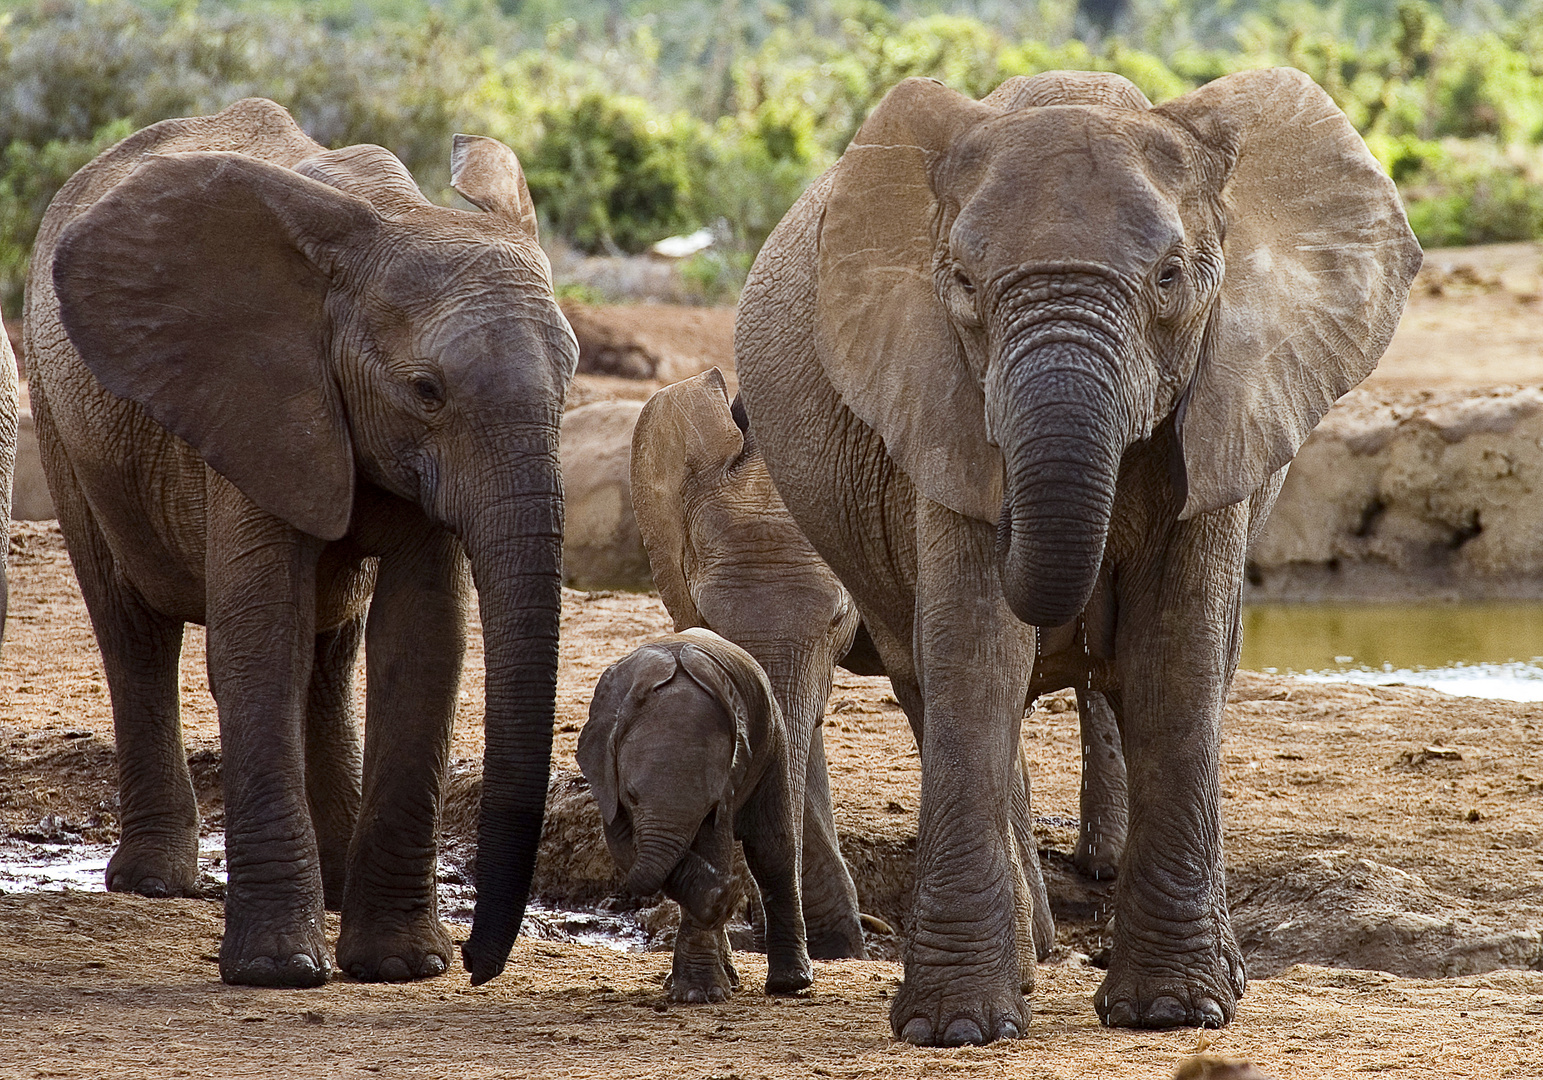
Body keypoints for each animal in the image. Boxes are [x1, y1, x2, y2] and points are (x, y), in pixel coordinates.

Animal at [24, 99, 580, 987]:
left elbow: (422, 643)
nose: (476, 965)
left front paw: (401, 967)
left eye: (571, 377)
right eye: (426, 391)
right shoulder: (255, 399)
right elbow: (261, 641)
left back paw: (337, 885)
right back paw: (156, 883)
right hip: (65, 425)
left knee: (331, 648)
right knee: (133, 628)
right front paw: (280, 969)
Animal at [737, 69, 1419, 1049]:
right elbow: (976, 653)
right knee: (931, 679)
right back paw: (1026, 967)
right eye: (962, 283)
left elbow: (1175, 658)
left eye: (1169, 277)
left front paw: (1172, 1013)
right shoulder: (938, 403)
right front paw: (955, 1028)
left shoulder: (1227, 408)